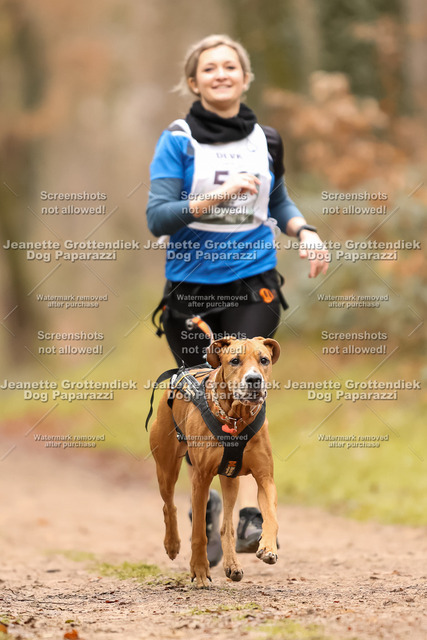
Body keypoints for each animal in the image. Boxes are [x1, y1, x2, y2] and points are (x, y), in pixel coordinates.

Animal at [149, 336, 280, 587]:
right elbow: (199, 532)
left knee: (226, 525)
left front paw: (268, 546)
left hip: (230, 478)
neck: (236, 418)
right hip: (166, 467)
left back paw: (232, 565)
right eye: (235, 360)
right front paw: (200, 571)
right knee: (168, 505)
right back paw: (172, 544)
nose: (254, 379)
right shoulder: (200, 479)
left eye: (264, 360)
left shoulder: (265, 477)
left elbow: (270, 515)